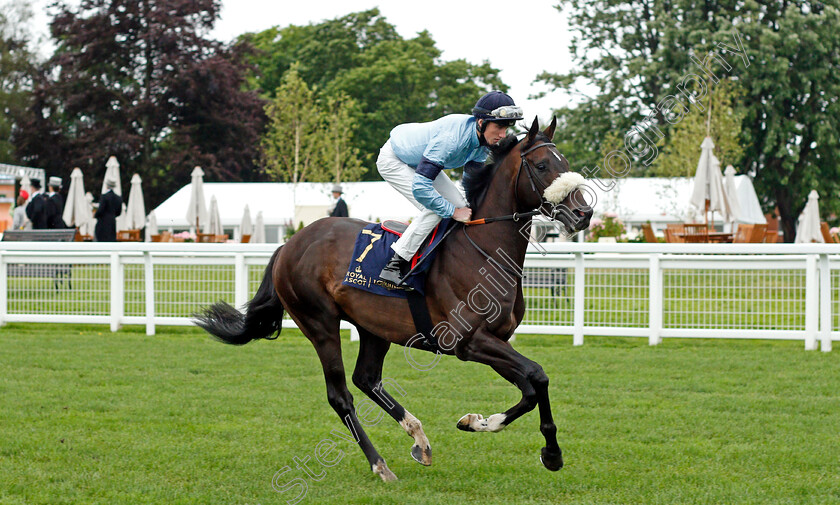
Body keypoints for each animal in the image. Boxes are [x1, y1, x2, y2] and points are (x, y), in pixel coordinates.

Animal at [196, 117, 592, 480]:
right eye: (541, 166)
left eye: (565, 162)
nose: (583, 213)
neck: (482, 250)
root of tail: (289, 245)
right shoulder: (468, 341)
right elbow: (537, 376)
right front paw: (547, 451)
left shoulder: (496, 339)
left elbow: (531, 386)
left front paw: (481, 423)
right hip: (320, 324)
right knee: (341, 394)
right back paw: (379, 463)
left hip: (373, 326)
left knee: (367, 379)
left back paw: (419, 440)